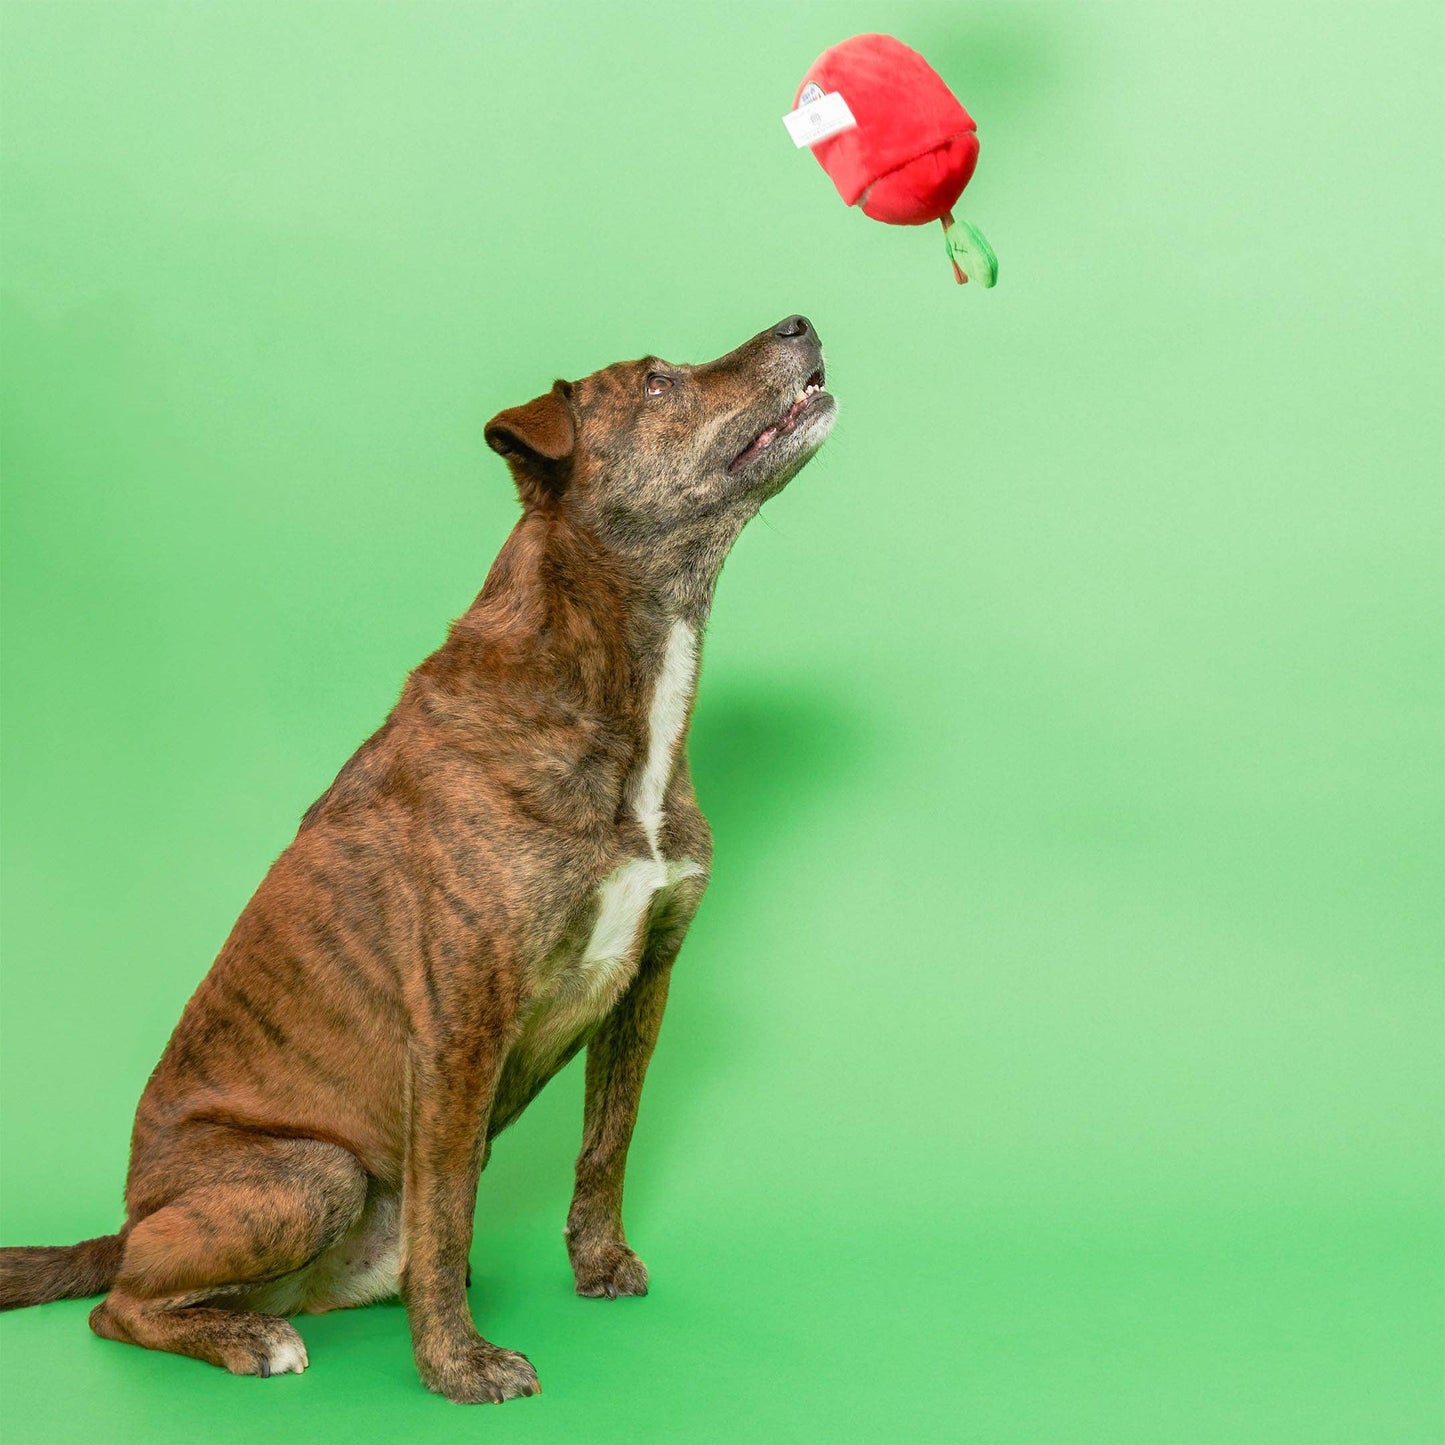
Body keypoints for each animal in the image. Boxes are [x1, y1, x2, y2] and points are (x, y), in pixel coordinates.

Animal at [0, 313, 838, 1398]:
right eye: (657, 382)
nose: (799, 322)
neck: (607, 682)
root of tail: (131, 1220)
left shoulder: (646, 980)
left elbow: (604, 1145)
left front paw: (598, 1263)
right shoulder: (458, 1026)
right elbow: (444, 1217)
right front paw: (457, 1364)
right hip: (310, 1171)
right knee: (120, 1303)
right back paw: (246, 1335)